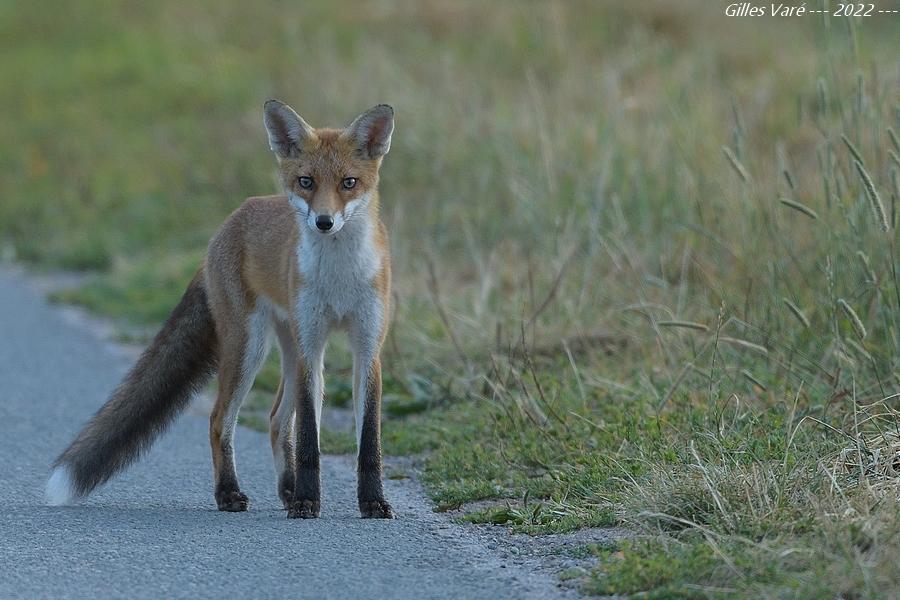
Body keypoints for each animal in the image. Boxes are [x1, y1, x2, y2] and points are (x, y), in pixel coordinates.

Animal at [45, 101, 396, 516]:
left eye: (349, 183)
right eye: (306, 182)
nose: (324, 222)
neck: (340, 278)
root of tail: (229, 221)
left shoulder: (367, 348)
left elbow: (369, 441)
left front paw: (372, 502)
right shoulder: (313, 347)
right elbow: (310, 437)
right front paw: (308, 501)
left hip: (288, 351)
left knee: (275, 421)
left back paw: (287, 488)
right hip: (251, 347)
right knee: (219, 420)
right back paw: (229, 493)